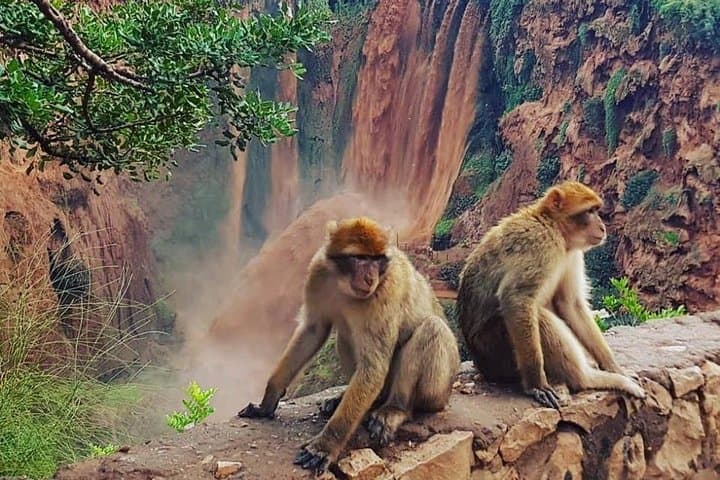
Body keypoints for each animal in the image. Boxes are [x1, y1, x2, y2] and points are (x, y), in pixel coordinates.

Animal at [239, 216, 460, 473]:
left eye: (376, 260)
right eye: (360, 258)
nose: (370, 278)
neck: (344, 285)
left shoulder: (386, 290)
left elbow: (373, 367)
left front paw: (325, 446)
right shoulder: (318, 273)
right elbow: (313, 330)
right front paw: (268, 401)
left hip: (437, 392)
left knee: (431, 329)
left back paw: (395, 409)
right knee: (345, 337)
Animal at [457, 180, 645, 409]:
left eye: (597, 210)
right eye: (589, 211)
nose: (602, 226)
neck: (554, 228)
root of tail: (481, 366)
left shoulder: (573, 254)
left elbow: (570, 304)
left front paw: (613, 366)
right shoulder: (540, 244)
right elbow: (517, 299)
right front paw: (536, 384)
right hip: (495, 352)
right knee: (536, 314)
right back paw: (587, 378)